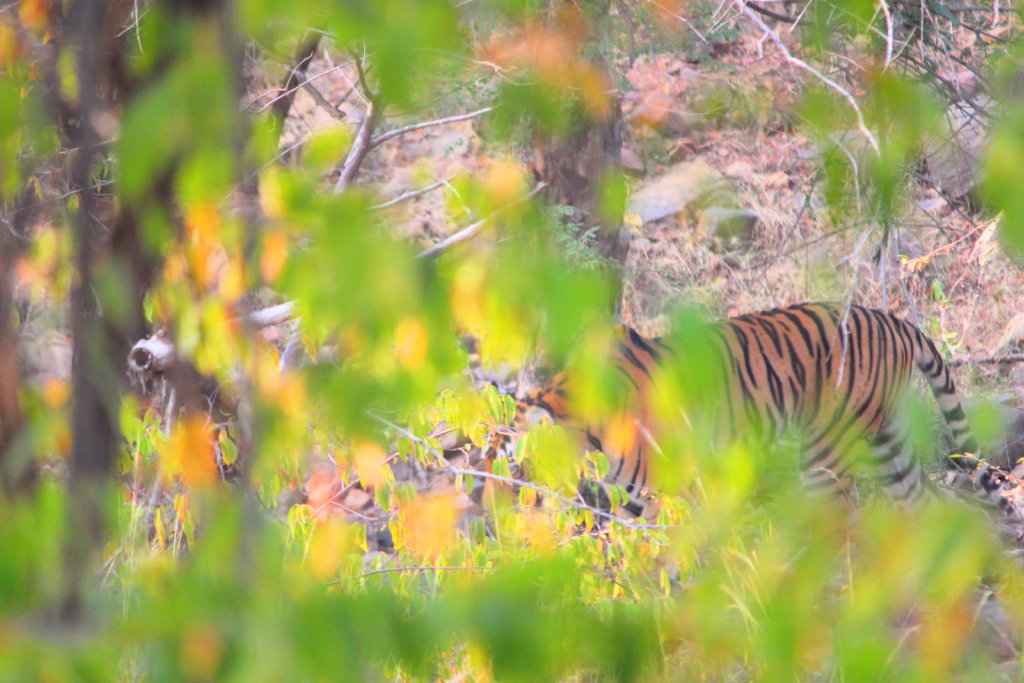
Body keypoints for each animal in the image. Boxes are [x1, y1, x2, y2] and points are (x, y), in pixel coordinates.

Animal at [481, 301, 1007, 516]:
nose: (499, 509)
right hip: (887, 443)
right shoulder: (634, 498)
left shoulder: (679, 488)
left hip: (827, 455)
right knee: (926, 502)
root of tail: (892, 319)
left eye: (517, 467)